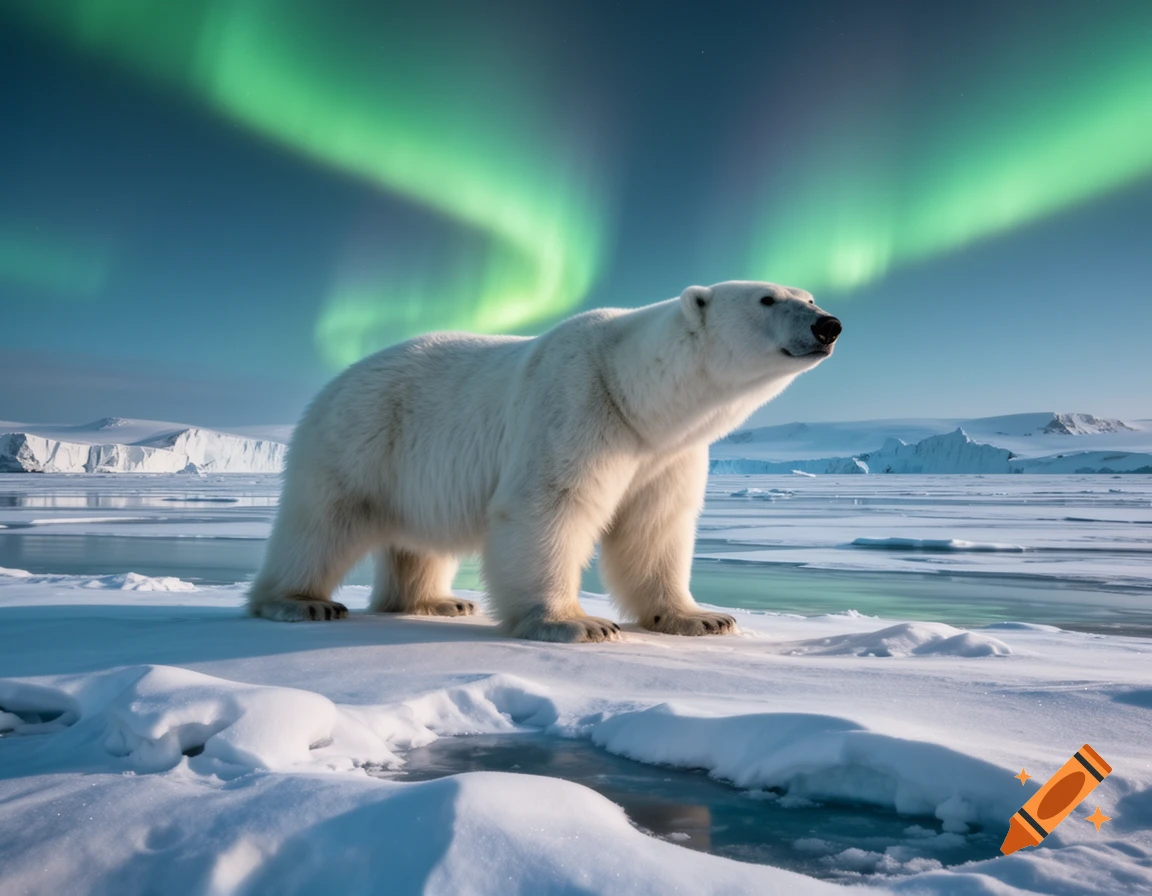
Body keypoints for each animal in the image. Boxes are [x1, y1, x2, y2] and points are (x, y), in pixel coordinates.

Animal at [247, 280, 841, 642]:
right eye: (767, 299)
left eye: (810, 296)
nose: (829, 325)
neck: (634, 392)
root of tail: (335, 382)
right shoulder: (576, 404)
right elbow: (549, 505)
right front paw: (579, 624)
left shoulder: (665, 453)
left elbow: (655, 527)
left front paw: (703, 617)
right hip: (362, 438)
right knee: (321, 522)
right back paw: (302, 602)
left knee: (417, 541)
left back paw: (440, 602)